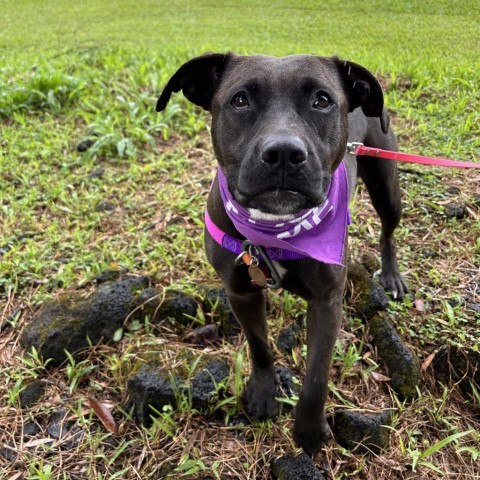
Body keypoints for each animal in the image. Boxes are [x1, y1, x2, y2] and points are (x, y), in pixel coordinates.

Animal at [156, 54, 406, 456]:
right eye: (240, 100)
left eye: (322, 100)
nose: (285, 153)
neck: (277, 229)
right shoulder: (240, 292)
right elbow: (258, 345)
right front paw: (263, 394)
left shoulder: (327, 301)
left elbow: (317, 374)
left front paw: (308, 431)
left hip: (386, 181)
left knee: (388, 231)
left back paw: (392, 276)